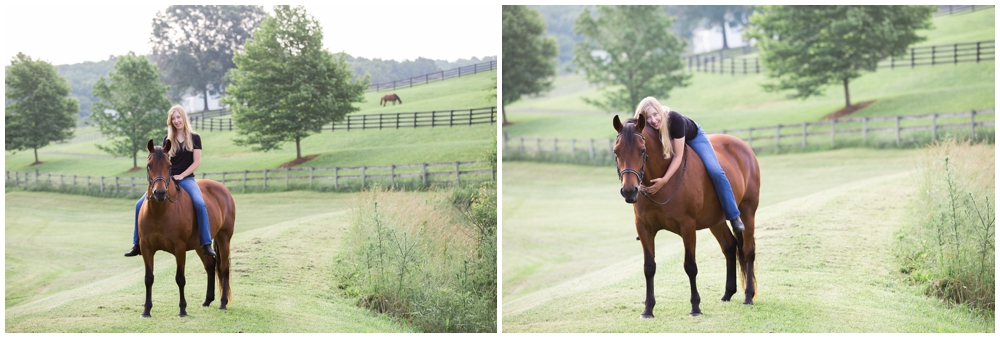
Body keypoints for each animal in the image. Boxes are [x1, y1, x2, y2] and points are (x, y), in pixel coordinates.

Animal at [139, 139, 236, 318]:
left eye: (169, 166)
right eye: (149, 165)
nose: (159, 193)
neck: (159, 212)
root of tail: (223, 189)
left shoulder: (179, 248)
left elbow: (180, 278)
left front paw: (183, 309)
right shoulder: (146, 248)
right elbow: (148, 278)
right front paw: (146, 310)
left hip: (224, 238)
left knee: (224, 268)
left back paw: (223, 303)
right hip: (200, 245)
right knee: (210, 265)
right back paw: (207, 300)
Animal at [608, 115, 756, 318]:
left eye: (642, 150)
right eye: (616, 151)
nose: (629, 191)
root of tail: (745, 147)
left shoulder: (688, 228)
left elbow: (690, 266)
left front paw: (695, 306)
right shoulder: (644, 229)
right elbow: (649, 267)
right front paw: (648, 309)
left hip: (748, 213)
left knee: (748, 251)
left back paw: (748, 296)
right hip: (716, 222)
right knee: (729, 247)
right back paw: (728, 293)